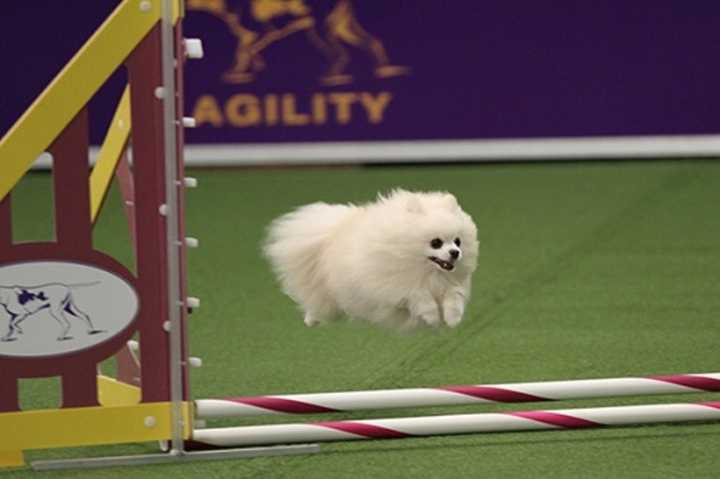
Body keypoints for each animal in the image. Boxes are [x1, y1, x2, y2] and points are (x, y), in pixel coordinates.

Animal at [262, 190, 478, 330]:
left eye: (457, 241)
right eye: (436, 242)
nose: (455, 252)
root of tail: (332, 232)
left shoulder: (451, 284)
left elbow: (454, 299)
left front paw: (452, 319)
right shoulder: (398, 287)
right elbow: (421, 298)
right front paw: (432, 317)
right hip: (330, 292)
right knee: (318, 303)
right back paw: (310, 320)